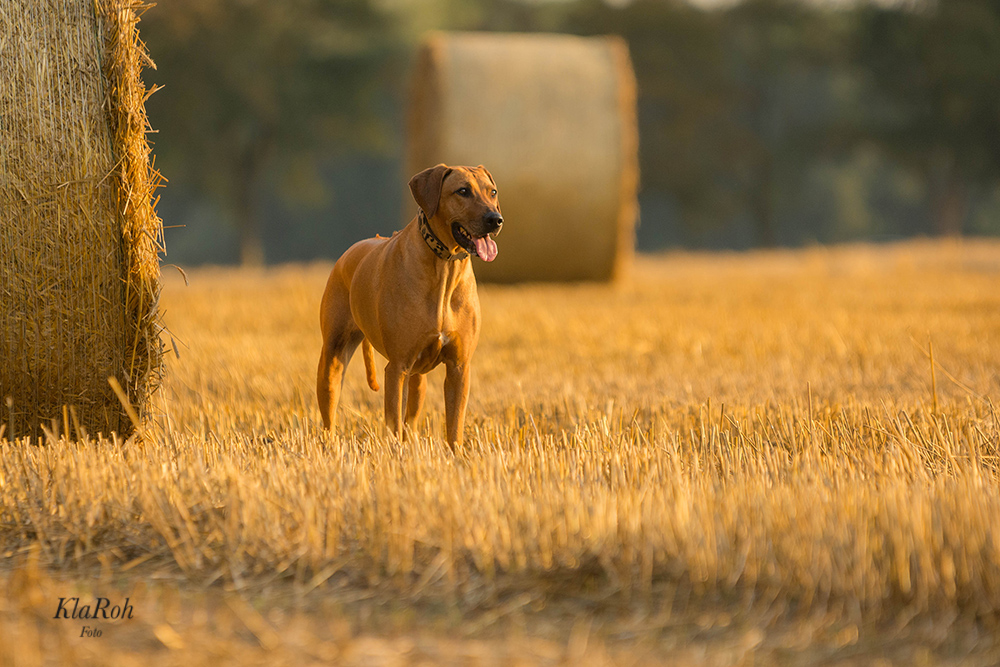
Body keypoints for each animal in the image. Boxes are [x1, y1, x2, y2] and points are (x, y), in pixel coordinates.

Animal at [318, 163, 504, 448]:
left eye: (492, 192)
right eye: (462, 191)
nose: (495, 219)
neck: (444, 267)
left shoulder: (459, 368)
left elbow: (454, 427)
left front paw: (456, 455)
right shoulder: (397, 367)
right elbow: (394, 422)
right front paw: (397, 453)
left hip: (419, 377)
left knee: (413, 416)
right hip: (333, 358)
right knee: (329, 411)